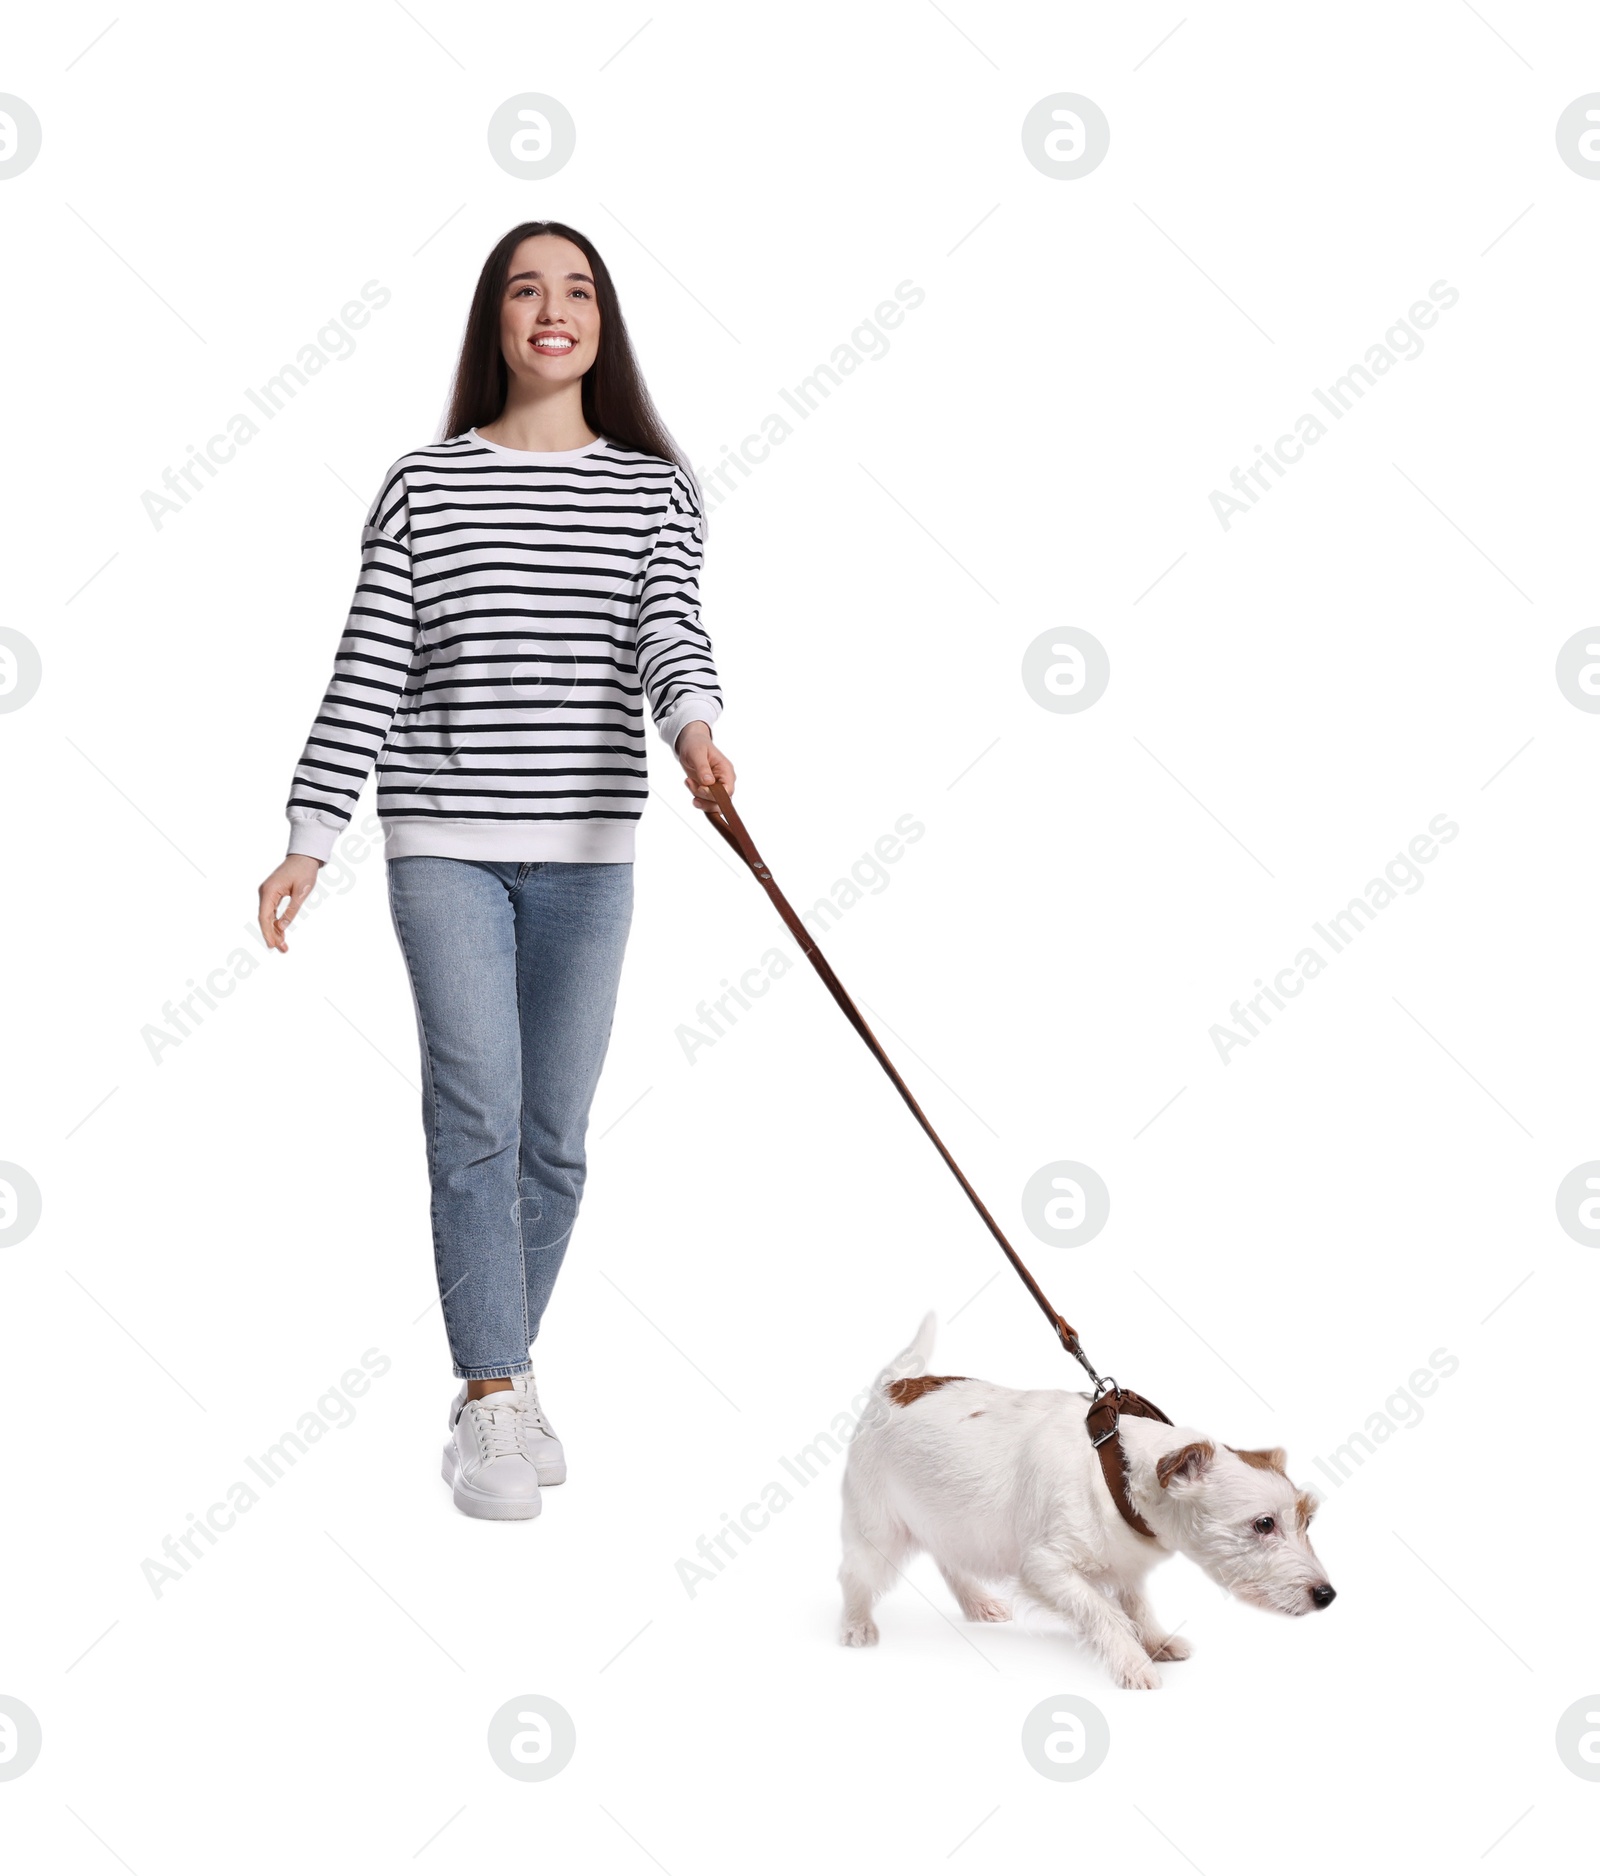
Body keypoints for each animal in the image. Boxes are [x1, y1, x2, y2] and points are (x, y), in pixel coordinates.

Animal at [836, 1313, 1335, 1695]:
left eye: (1307, 1521)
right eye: (1264, 1524)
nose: (1327, 1595)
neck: (1115, 1467)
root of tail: (893, 1386)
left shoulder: (1128, 1565)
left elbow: (1136, 1604)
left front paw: (1155, 1641)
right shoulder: (1046, 1568)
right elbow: (1105, 1613)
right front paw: (1134, 1663)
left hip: (950, 1518)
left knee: (948, 1560)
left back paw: (977, 1604)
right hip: (875, 1528)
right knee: (855, 1575)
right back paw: (856, 1626)